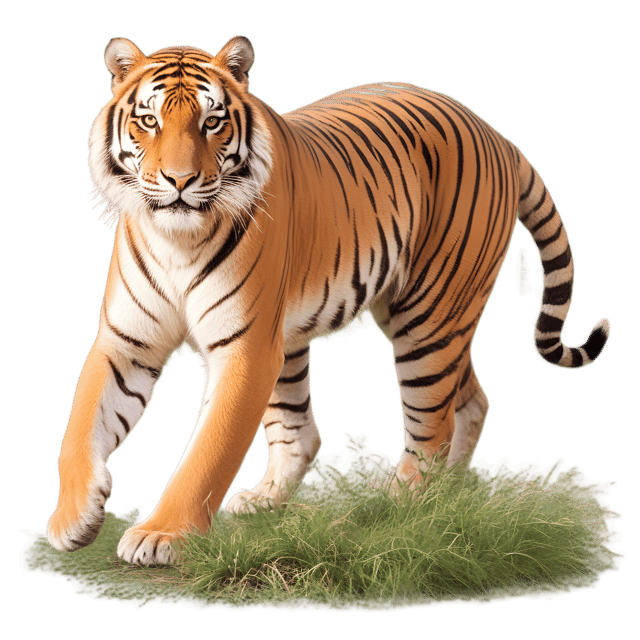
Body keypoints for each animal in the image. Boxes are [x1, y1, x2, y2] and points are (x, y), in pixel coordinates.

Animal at [46, 35, 610, 566]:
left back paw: (403, 504)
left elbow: (207, 452)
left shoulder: (245, 348)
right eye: (148, 120)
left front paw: (160, 535)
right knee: (446, 405)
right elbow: (79, 428)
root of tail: (497, 133)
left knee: (434, 424)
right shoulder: (127, 342)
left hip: (427, 318)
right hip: (387, 325)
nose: (179, 181)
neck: (177, 240)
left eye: (212, 122)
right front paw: (71, 519)